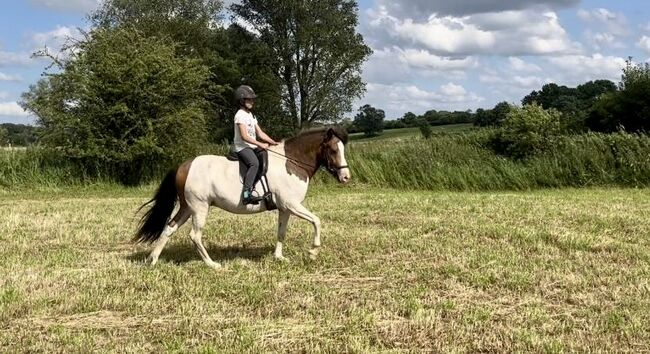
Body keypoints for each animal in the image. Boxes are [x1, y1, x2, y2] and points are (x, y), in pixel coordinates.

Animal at [132, 127, 352, 268]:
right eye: (333, 150)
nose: (346, 177)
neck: (292, 161)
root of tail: (184, 165)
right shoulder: (292, 204)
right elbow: (317, 220)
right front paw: (313, 252)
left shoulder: (285, 208)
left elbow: (281, 233)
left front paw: (279, 257)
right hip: (200, 208)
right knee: (194, 235)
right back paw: (212, 264)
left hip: (187, 208)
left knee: (169, 228)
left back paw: (152, 260)